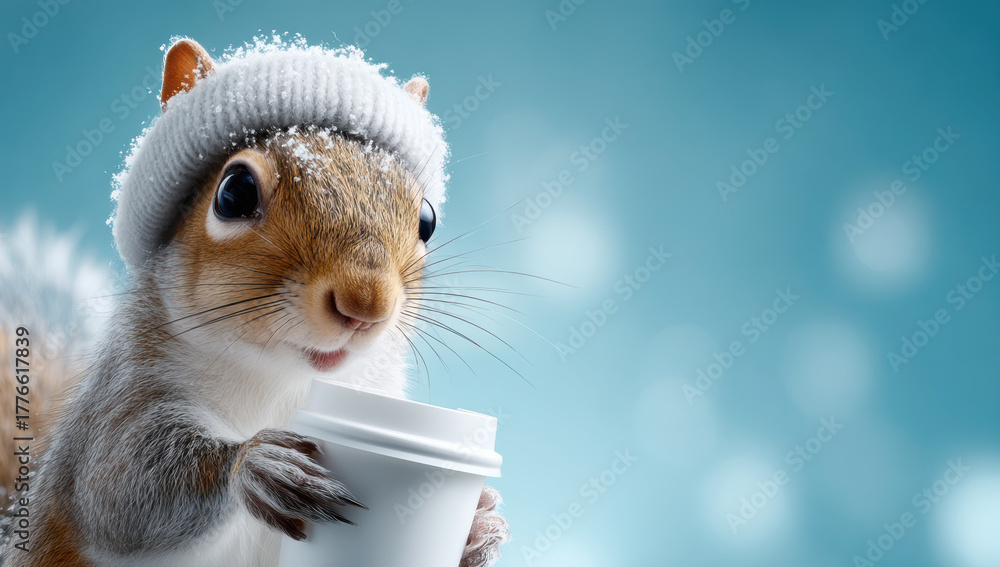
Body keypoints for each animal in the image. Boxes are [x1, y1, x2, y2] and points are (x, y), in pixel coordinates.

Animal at [1, 38, 510, 567]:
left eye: (427, 219)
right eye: (235, 191)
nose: (365, 305)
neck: (283, 381)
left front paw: (480, 522)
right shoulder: (122, 396)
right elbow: (114, 489)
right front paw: (256, 465)